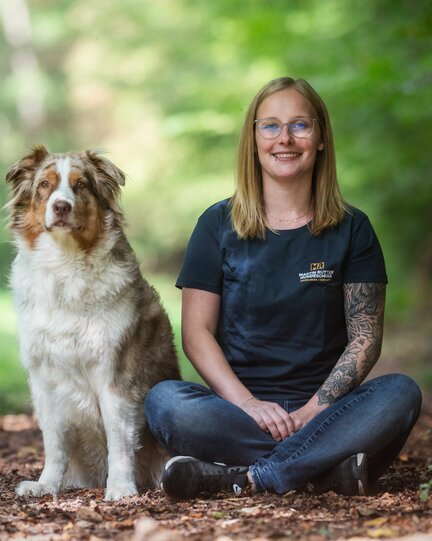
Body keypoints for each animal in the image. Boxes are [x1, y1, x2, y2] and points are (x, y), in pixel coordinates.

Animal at [5, 146, 181, 500]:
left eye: (81, 185)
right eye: (45, 184)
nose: (61, 206)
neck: (65, 263)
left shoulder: (115, 374)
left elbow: (119, 439)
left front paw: (121, 487)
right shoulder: (44, 379)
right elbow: (53, 441)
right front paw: (47, 484)